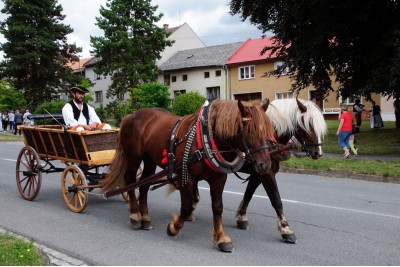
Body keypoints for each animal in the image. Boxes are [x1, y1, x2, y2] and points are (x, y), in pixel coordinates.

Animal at [101, 100, 276, 253]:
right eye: (250, 131)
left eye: (268, 131)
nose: (265, 165)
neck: (205, 139)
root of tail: (130, 116)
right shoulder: (185, 177)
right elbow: (186, 207)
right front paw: (173, 227)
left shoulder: (218, 179)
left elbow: (217, 207)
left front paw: (221, 238)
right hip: (134, 158)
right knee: (130, 181)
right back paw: (135, 216)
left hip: (149, 160)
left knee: (143, 185)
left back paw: (145, 218)